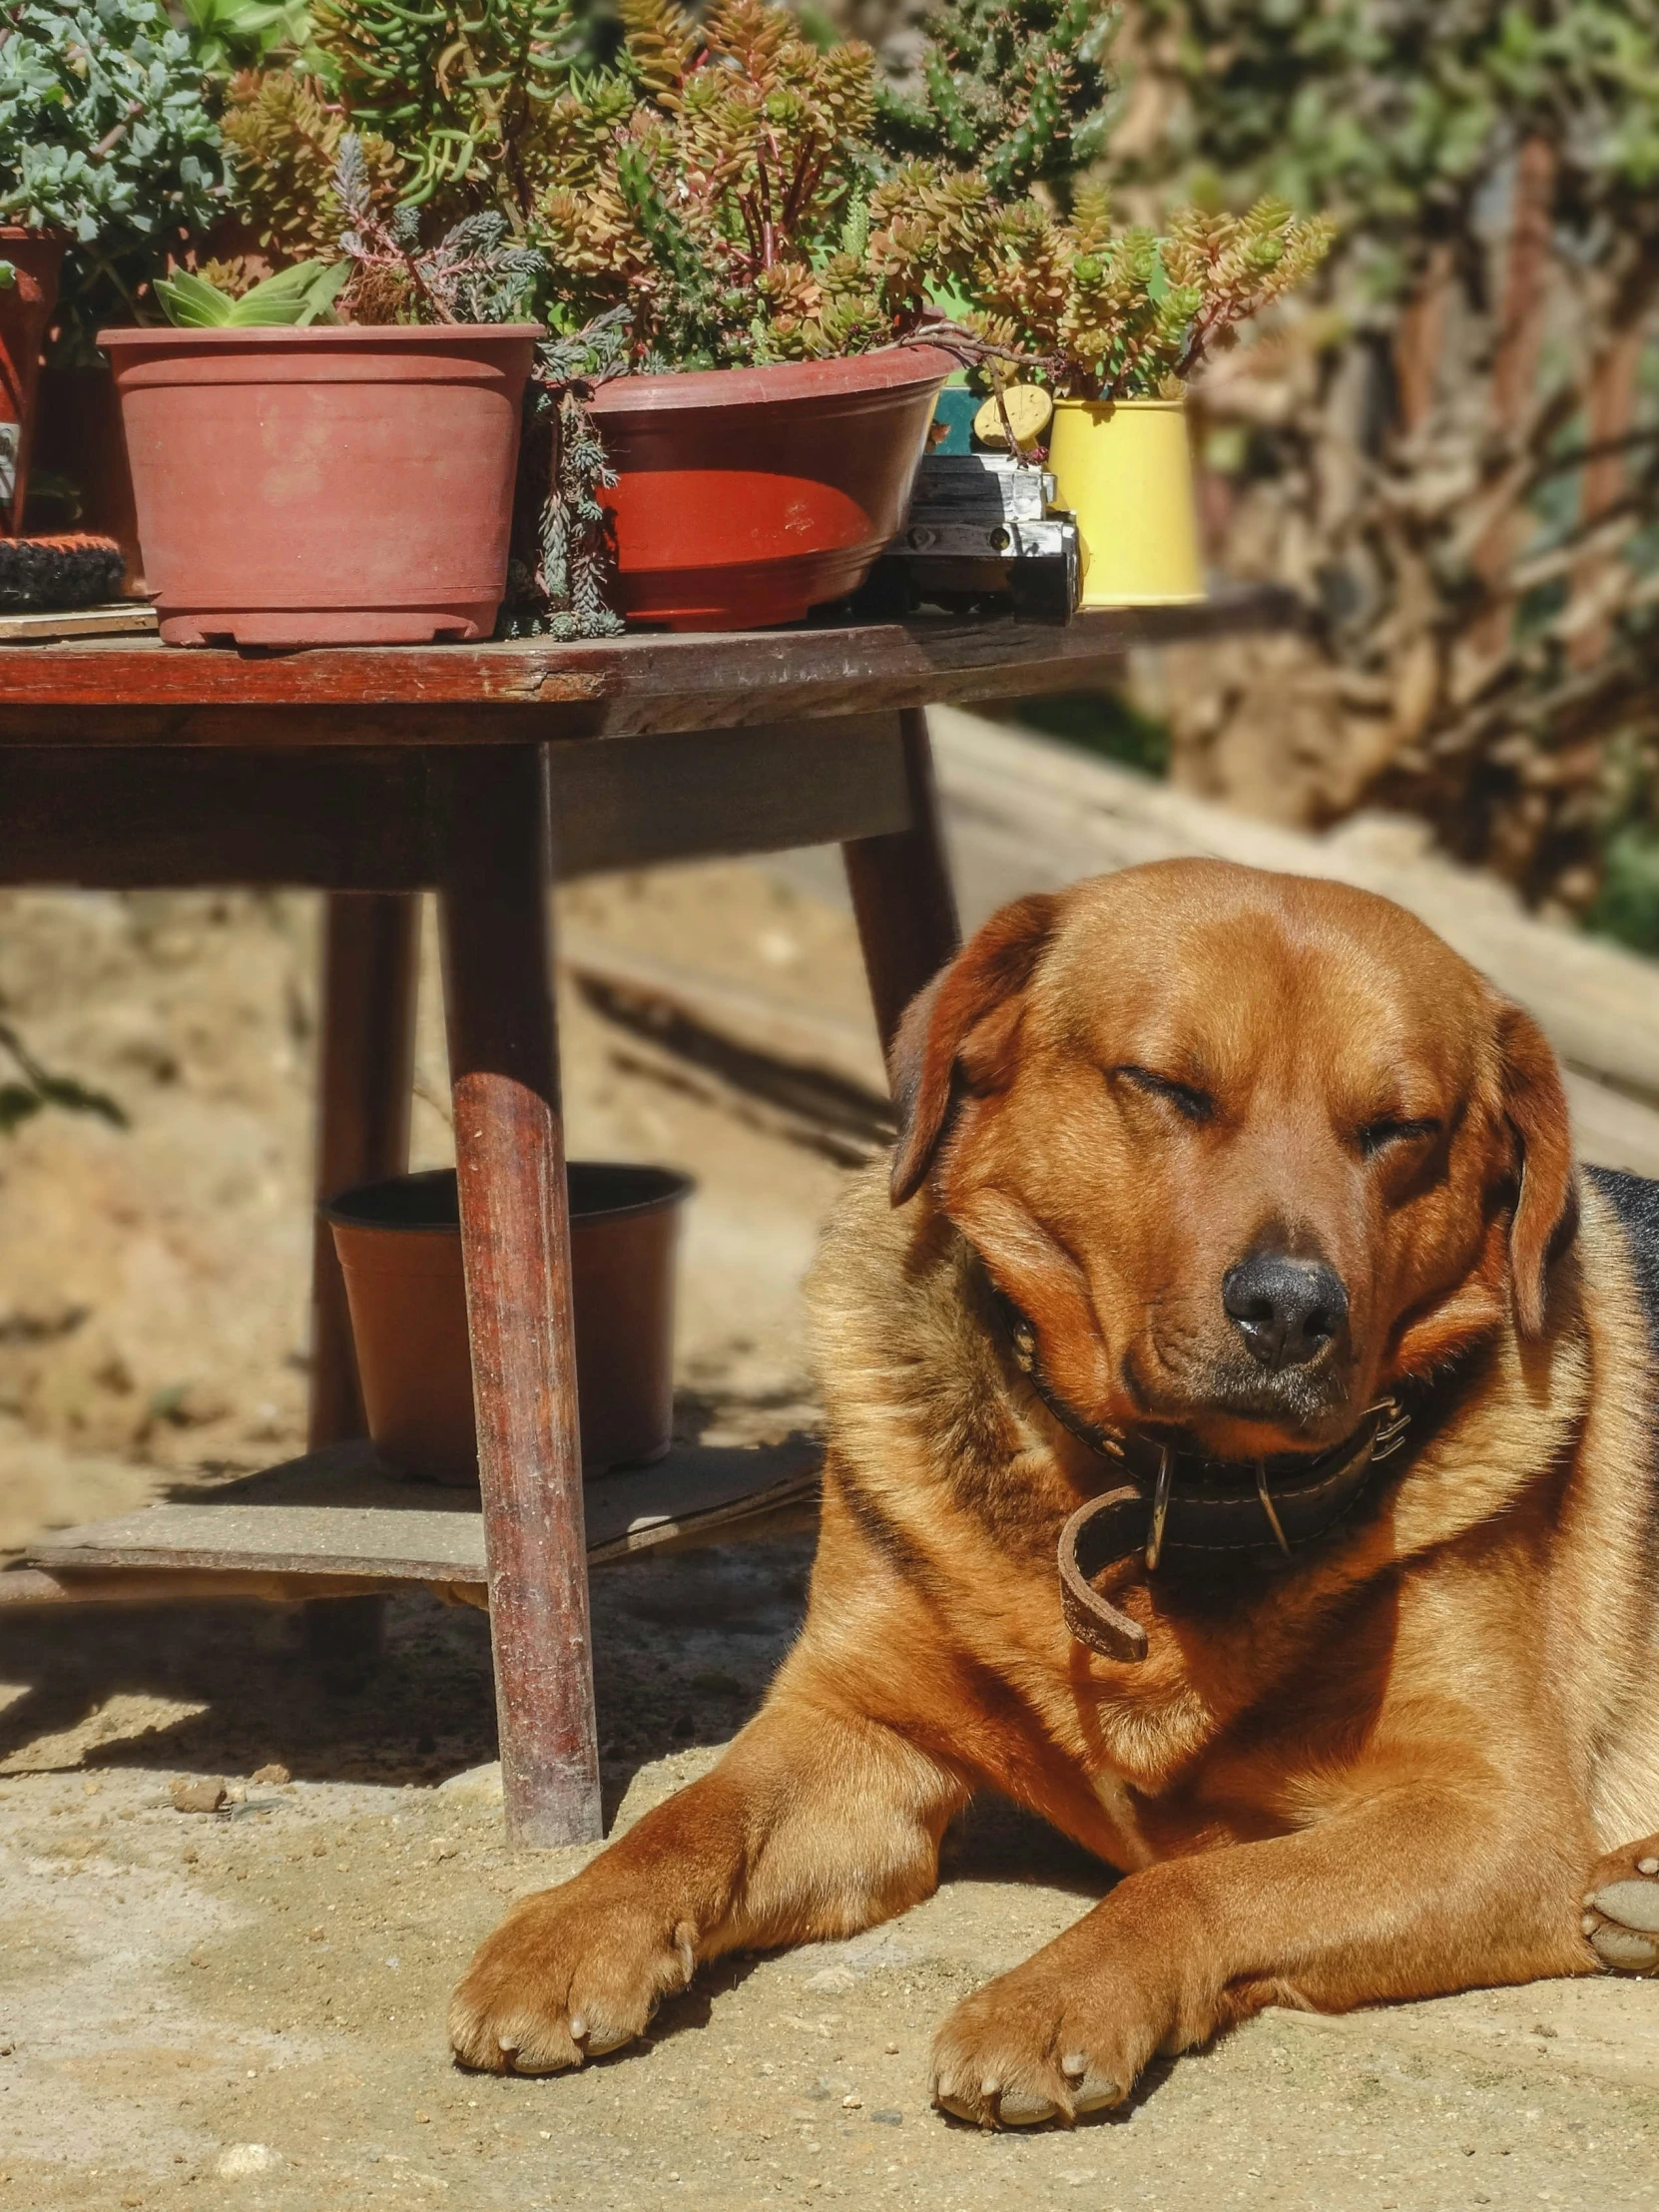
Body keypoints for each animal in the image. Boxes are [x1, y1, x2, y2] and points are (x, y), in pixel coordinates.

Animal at [448, 862, 1659, 2123]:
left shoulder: (1493, 1820)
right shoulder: (854, 1730)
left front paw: (1057, 1992)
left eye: (1400, 1130)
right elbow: (689, 1816)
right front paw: (571, 1924)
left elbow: (1199, 1881)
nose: (1292, 1308)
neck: (1161, 1489)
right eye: (1167, 1087)